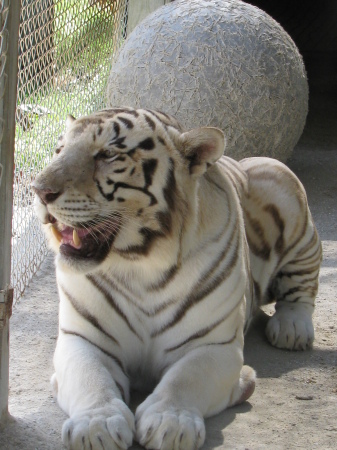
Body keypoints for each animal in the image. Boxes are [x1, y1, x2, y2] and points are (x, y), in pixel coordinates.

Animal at [32, 107, 322, 448]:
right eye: (59, 150)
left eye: (108, 154)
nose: (39, 190)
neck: (139, 264)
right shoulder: (83, 338)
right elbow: (91, 378)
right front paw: (95, 426)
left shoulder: (213, 344)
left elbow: (186, 378)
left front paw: (170, 422)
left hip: (282, 186)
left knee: (303, 284)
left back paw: (293, 328)